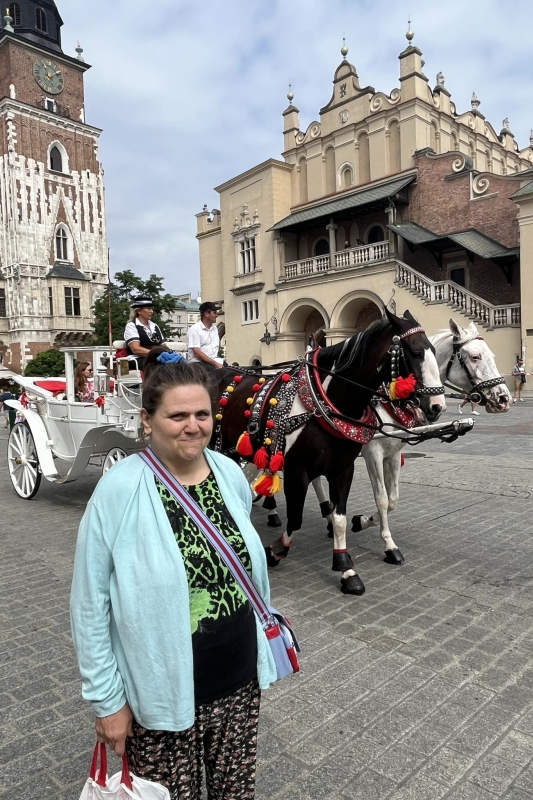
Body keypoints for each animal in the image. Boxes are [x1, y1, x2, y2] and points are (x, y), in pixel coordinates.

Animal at [350, 318, 512, 564]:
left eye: (492, 355)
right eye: (475, 357)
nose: (504, 398)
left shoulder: (393, 453)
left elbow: (392, 498)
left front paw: (364, 521)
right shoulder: (373, 453)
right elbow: (382, 499)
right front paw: (389, 545)